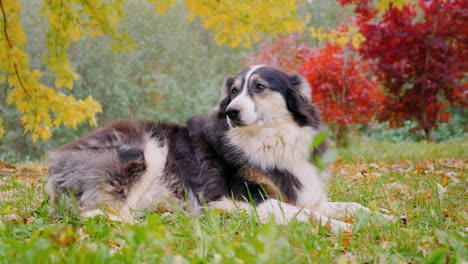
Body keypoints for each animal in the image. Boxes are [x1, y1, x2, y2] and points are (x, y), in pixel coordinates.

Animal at [47, 65, 394, 231]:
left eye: (259, 87)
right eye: (234, 91)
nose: (231, 111)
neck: (269, 139)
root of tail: (56, 159)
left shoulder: (305, 194)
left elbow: (351, 206)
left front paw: (382, 217)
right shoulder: (252, 199)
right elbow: (308, 216)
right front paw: (340, 227)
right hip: (147, 148)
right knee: (105, 213)